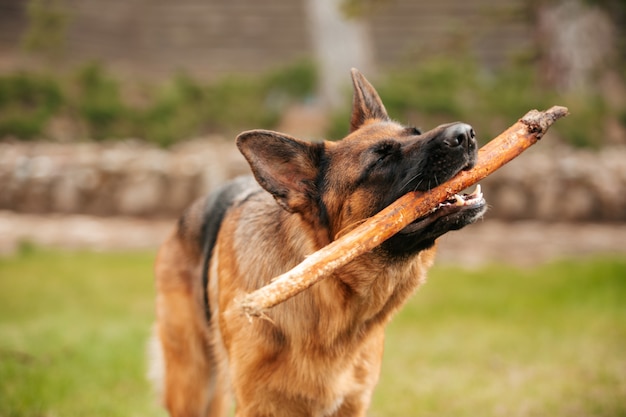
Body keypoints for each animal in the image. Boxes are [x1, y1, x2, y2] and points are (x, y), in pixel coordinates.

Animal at [151, 69, 488, 416]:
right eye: (380, 160)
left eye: (416, 133)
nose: (466, 133)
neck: (330, 295)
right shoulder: (257, 405)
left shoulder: (351, 404)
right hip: (189, 385)